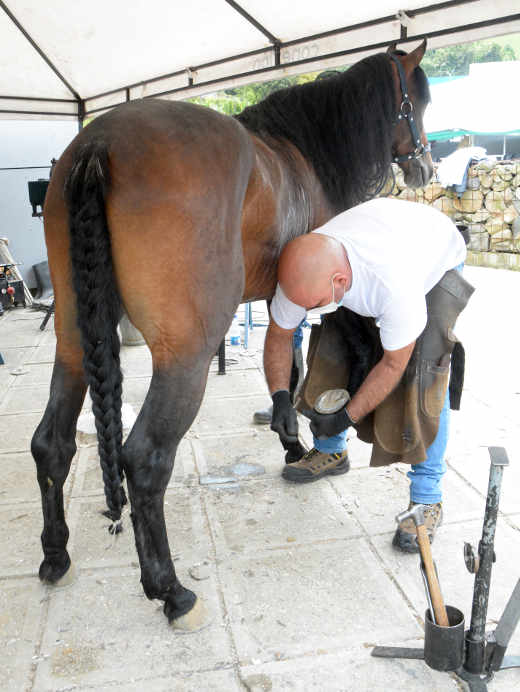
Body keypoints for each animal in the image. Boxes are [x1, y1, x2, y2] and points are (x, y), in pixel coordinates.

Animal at [30, 40, 432, 628]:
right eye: (418, 100)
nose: (426, 165)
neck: (303, 153)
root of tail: (97, 144)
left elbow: (285, 359)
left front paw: (289, 434)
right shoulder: (305, 297)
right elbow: (297, 361)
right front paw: (297, 441)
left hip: (77, 342)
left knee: (51, 443)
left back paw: (56, 555)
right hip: (186, 356)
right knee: (144, 459)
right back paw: (170, 590)